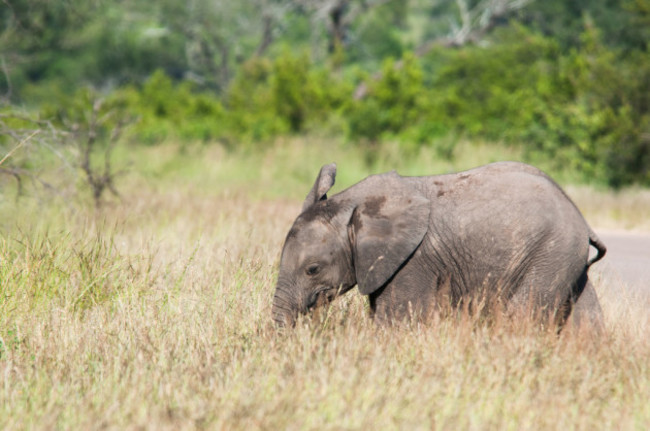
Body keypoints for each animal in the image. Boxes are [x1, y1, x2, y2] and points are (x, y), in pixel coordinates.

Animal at [270, 162, 604, 330]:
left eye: (313, 269)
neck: (354, 205)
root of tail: (581, 218)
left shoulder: (413, 261)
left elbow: (396, 322)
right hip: (563, 257)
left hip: (549, 254)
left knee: (521, 317)